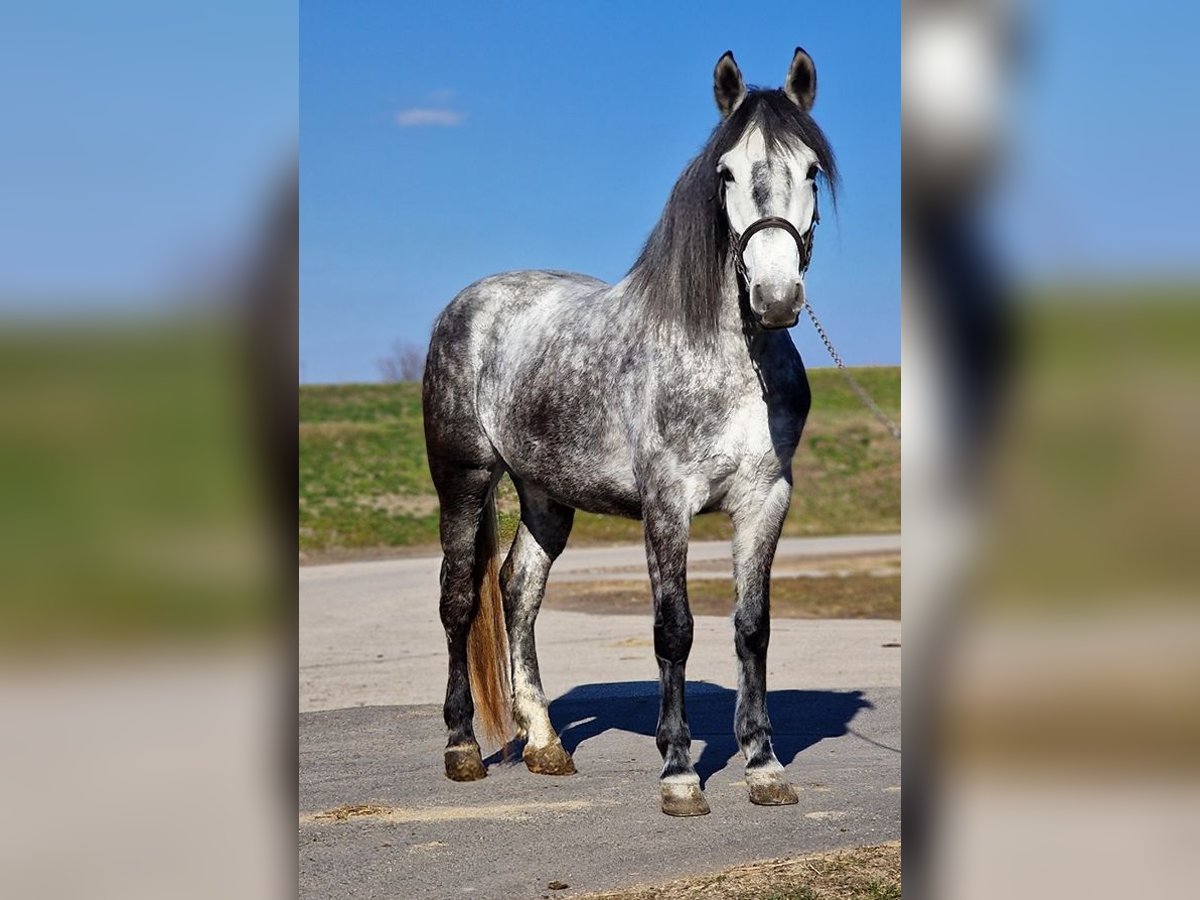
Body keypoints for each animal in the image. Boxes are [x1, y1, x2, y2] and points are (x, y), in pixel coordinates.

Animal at [427, 51, 840, 825]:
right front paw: (679, 773)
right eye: (726, 172)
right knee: (461, 600)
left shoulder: (765, 499)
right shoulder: (667, 504)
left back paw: (544, 744)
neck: (729, 361)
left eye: (810, 171)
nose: (775, 297)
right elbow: (673, 629)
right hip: (463, 479)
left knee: (518, 590)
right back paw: (462, 747)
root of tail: (469, 303)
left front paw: (763, 767)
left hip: (545, 495)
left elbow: (752, 626)